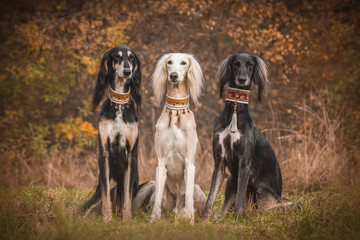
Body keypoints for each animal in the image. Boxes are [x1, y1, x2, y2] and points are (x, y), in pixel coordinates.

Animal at [81, 45, 142, 221]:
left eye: (131, 57)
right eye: (116, 56)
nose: (128, 71)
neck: (119, 105)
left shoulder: (131, 155)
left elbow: (127, 197)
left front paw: (127, 219)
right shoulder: (104, 154)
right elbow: (106, 195)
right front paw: (107, 219)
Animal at [131, 52, 205, 223]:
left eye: (184, 63)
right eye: (169, 62)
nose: (173, 75)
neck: (175, 112)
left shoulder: (189, 163)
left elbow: (189, 200)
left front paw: (190, 223)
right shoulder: (161, 163)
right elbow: (157, 201)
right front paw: (153, 221)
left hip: (198, 190)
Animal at [201, 53, 296, 220]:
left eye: (250, 65)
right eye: (236, 64)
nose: (242, 79)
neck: (235, 109)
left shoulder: (244, 164)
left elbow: (239, 199)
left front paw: (237, 219)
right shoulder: (219, 163)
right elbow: (211, 198)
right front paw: (203, 221)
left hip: (265, 197)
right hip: (231, 180)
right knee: (225, 209)